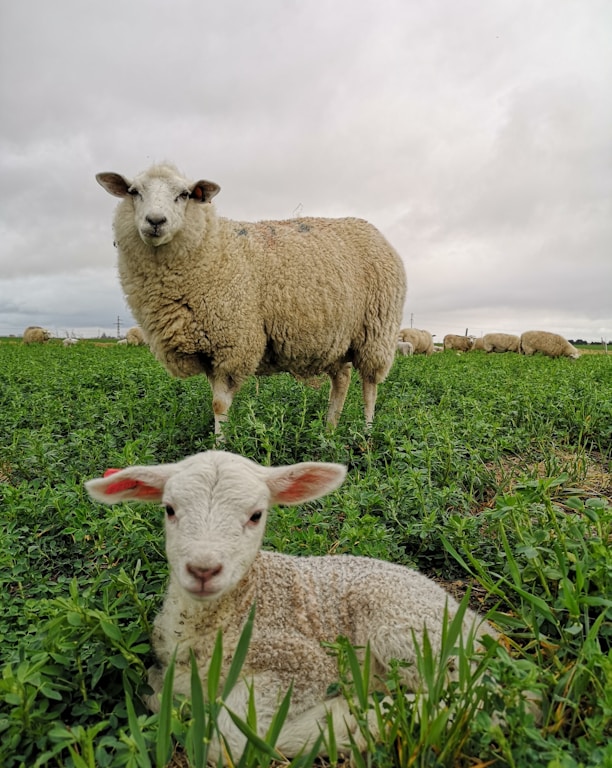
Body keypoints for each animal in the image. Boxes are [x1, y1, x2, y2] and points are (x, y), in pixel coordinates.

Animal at [86, 450, 502, 760]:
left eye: (256, 515)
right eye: (169, 509)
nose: (203, 569)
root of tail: (478, 624)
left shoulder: (301, 662)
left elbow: (229, 737)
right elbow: (161, 691)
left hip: (406, 632)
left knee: (469, 698)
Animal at [95, 163, 406, 436]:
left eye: (184, 194)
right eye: (133, 191)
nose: (156, 221)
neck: (213, 248)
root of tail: (373, 230)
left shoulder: (232, 343)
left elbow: (219, 405)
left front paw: (220, 448)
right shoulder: (210, 349)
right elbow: (215, 403)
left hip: (376, 332)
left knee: (370, 386)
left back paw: (365, 435)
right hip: (337, 339)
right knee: (341, 381)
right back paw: (329, 431)